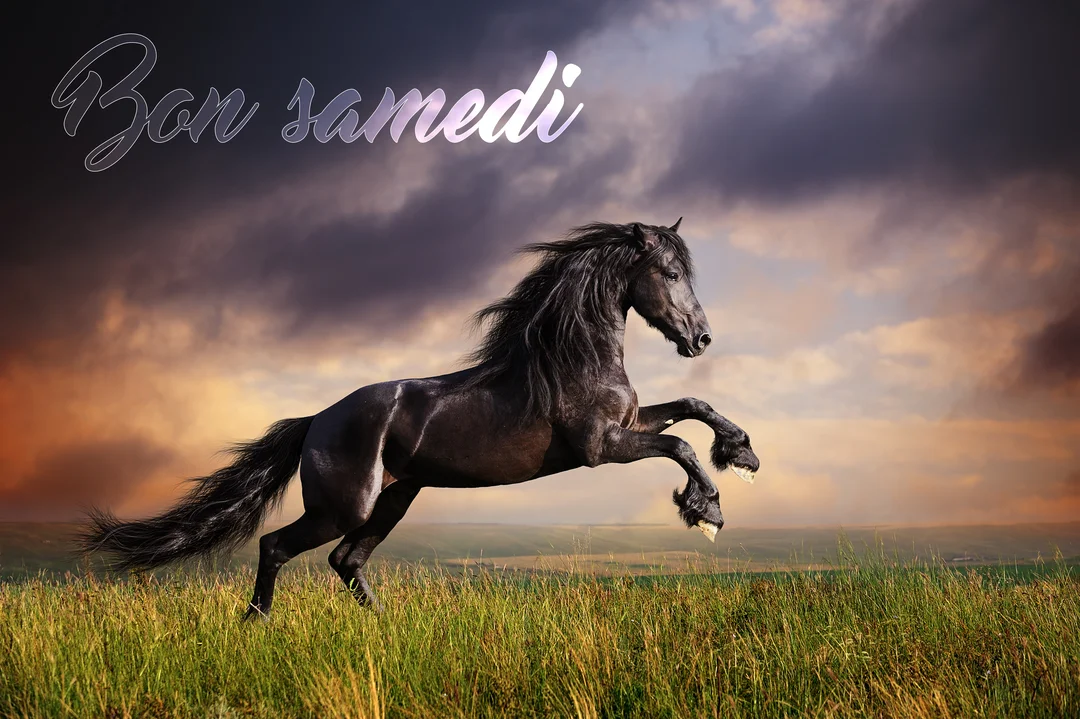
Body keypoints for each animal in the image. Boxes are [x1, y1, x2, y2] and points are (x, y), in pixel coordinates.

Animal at [79, 219, 760, 617]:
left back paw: (380, 628)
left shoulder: (629, 423)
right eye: (669, 273)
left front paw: (743, 455)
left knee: (346, 562)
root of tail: (316, 420)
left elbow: (692, 410)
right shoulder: (599, 446)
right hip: (344, 506)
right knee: (279, 546)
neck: (571, 358)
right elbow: (680, 448)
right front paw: (707, 511)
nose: (700, 339)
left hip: (395, 497)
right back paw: (257, 623)